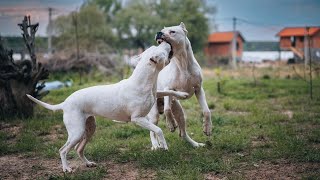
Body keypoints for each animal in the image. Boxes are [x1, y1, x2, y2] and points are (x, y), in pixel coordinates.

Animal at [27, 41, 189, 172]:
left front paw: (182, 94)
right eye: (160, 50)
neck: (145, 80)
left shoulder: (156, 95)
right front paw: (163, 145)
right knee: (63, 150)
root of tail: (65, 103)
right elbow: (158, 129)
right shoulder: (137, 119)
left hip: (89, 128)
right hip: (76, 132)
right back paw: (66, 168)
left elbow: (168, 91)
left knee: (79, 149)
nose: (165, 42)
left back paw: (88, 164)